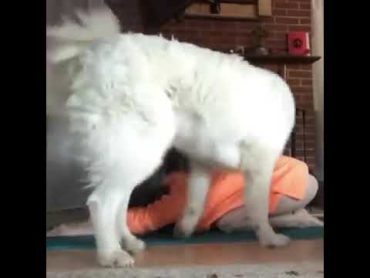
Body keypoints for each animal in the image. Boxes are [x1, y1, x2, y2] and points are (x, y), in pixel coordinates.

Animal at [46, 6, 294, 268]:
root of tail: (96, 51)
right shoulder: (260, 164)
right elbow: (259, 208)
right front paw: (269, 238)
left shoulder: (201, 166)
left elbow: (195, 204)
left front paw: (184, 230)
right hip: (140, 149)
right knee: (100, 202)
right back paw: (111, 254)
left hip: (129, 155)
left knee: (119, 203)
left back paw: (129, 242)